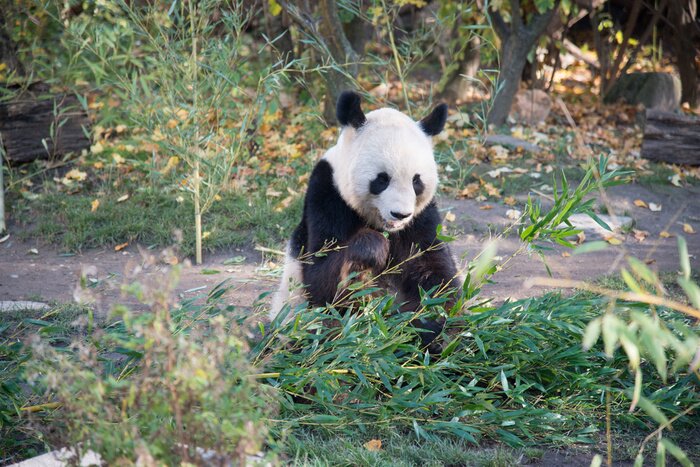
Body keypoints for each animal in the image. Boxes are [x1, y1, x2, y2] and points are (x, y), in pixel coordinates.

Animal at [271, 91, 460, 349]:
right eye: (382, 179)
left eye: (416, 181)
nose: (400, 214)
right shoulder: (327, 196)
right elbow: (321, 279)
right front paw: (372, 248)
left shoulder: (422, 217)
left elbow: (434, 271)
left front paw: (429, 325)